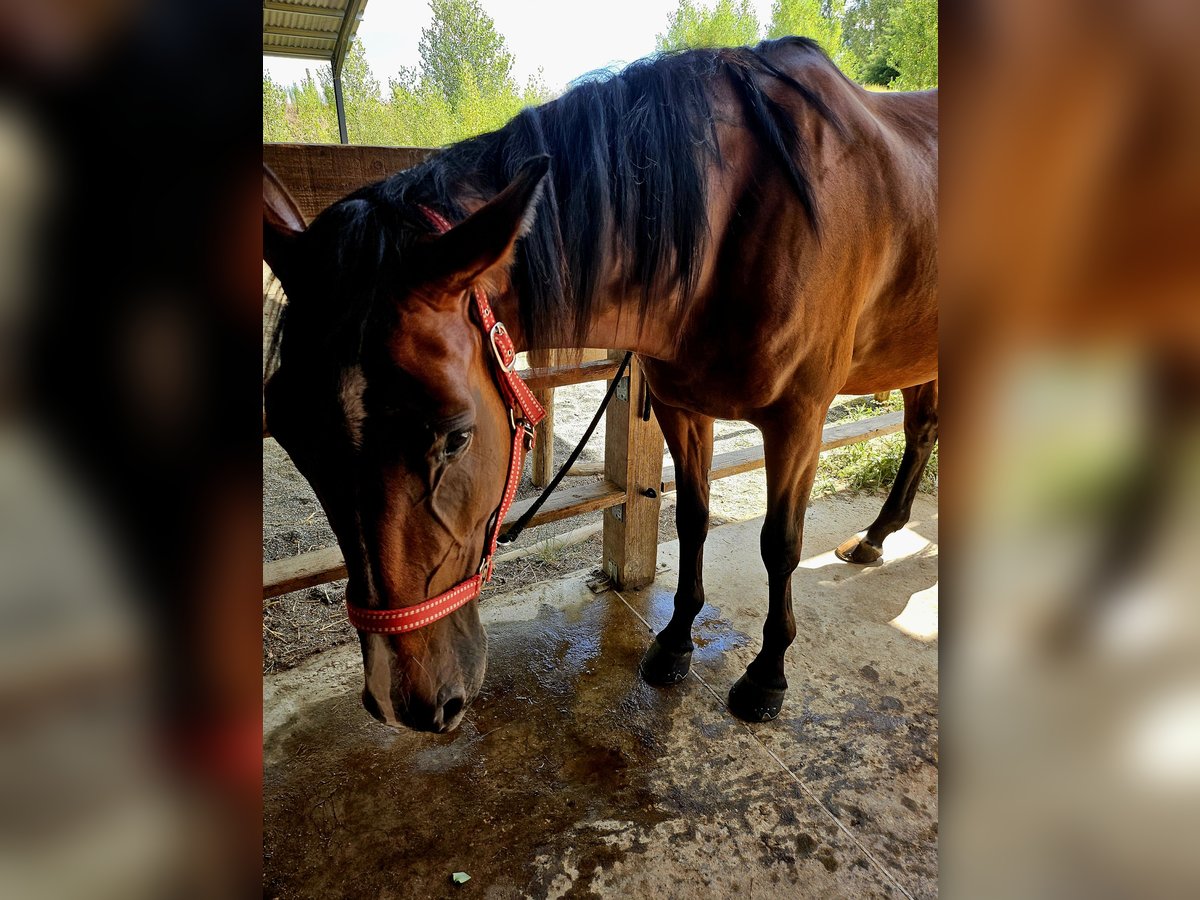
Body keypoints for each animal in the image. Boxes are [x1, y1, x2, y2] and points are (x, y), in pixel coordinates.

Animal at [263, 37, 937, 733]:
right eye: (290, 438)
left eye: (456, 437)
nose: (404, 702)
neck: (743, 216)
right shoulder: (679, 408)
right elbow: (690, 519)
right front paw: (675, 641)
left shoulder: (798, 421)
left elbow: (779, 546)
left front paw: (767, 675)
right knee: (922, 431)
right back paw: (877, 538)